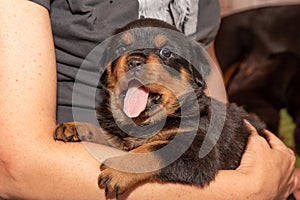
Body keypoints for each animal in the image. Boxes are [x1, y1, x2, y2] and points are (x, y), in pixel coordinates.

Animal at [54, 18, 268, 198]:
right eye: (121, 47)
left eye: (165, 52)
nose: (134, 61)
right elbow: (109, 134)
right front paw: (76, 127)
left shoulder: (197, 152)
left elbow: (152, 149)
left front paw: (118, 169)